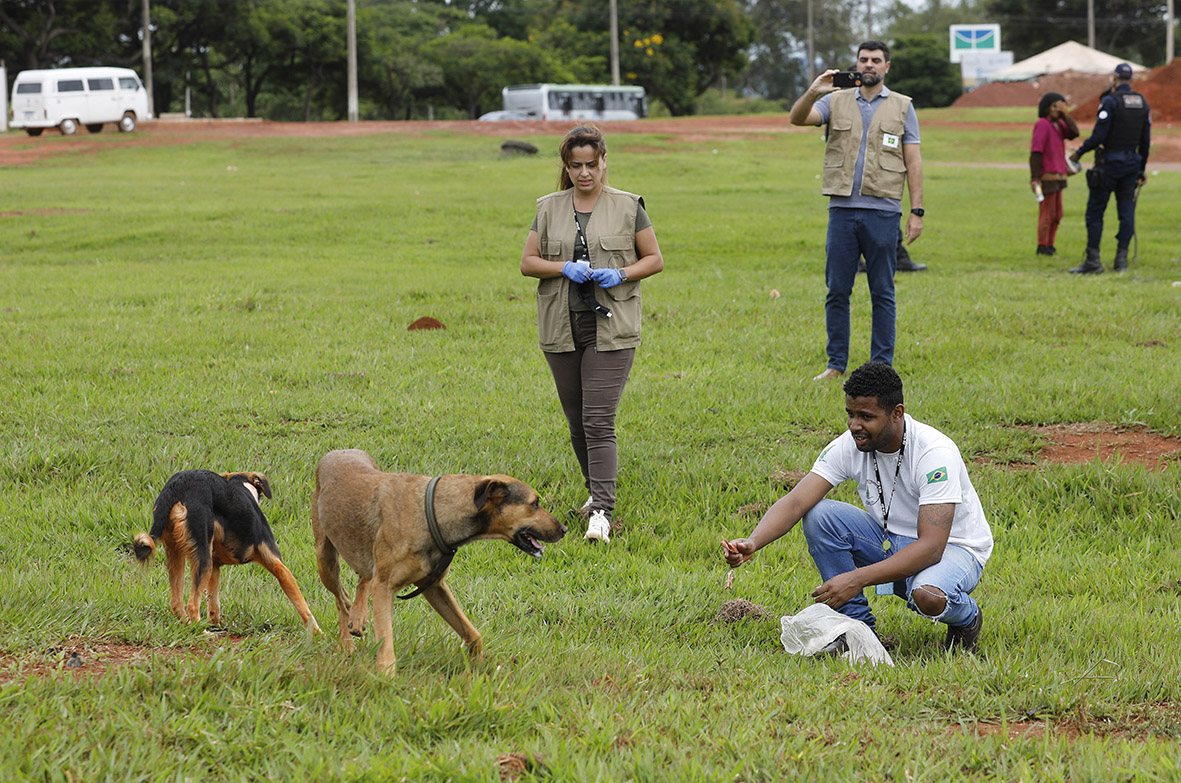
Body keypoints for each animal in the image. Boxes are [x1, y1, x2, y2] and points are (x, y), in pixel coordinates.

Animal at [134, 467, 323, 633]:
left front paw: (216, 624)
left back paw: (189, 626)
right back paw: (201, 631)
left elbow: (214, 603)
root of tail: (176, 485)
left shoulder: (215, 567)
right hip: (202, 557)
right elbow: (303, 607)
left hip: (177, 554)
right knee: (192, 604)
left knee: (176, 602)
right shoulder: (279, 566)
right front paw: (319, 635)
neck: (242, 487)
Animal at [311, 451, 564, 675]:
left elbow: (473, 634)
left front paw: (480, 665)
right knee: (341, 599)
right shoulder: (385, 588)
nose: (564, 529)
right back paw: (347, 640)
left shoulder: (434, 587)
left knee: (362, 579)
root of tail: (335, 452)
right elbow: (385, 641)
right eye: (535, 503)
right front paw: (386, 677)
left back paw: (358, 614)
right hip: (325, 561)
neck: (432, 512)